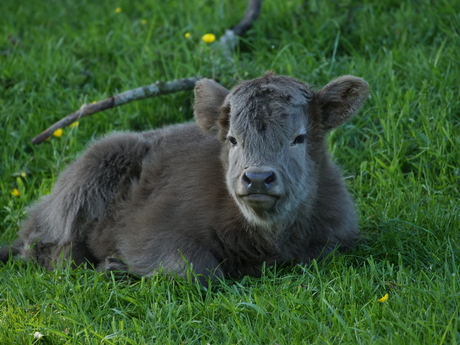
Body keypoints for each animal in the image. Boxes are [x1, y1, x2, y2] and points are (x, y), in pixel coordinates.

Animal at [0, 72, 366, 280]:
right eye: (233, 139)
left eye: (298, 138)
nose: (258, 178)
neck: (267, 240)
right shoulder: (146, 233)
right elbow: (198, 270)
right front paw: (121, 267)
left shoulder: (337, 237)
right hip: (93, 171)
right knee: (51, 252)